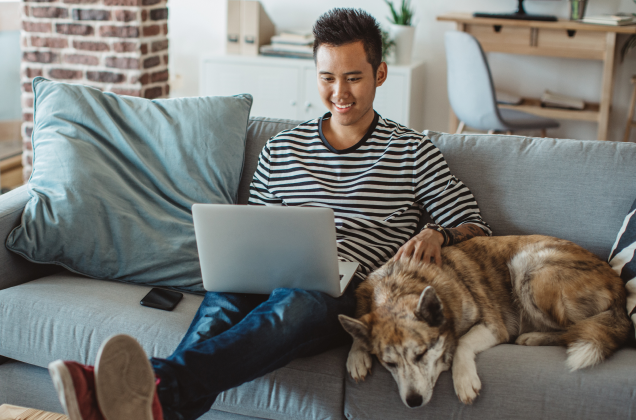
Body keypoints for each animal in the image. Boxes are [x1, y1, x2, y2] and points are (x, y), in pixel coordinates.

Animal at [338, 236, 632, 410]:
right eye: (388, 364)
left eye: (421, 354)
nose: (413, 402)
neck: (399, 286)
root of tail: (618, 286)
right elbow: (358, 329)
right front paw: (357, 354)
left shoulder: (493, 326)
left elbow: (462, 343)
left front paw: (464, 379)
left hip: (527, 266)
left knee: (571, 329)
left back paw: (532, 337)